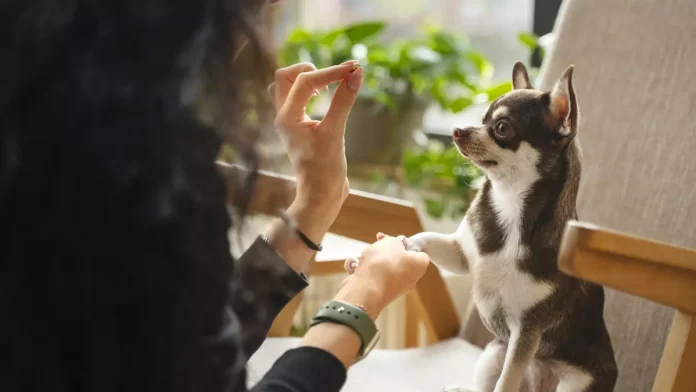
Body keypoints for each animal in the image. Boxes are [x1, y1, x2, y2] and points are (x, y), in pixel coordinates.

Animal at [406, 62, 616, 390]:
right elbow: (428, 238)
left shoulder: (526, 333)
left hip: (575, 382)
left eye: (502, 128)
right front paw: (406, 245)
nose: (458, 130)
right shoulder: (461, 255)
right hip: (493, 353)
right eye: (482, 120)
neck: (510, 204)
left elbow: (507, 381)